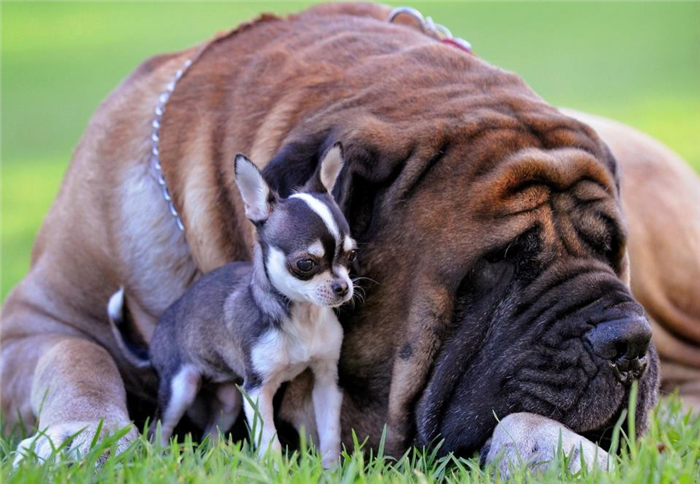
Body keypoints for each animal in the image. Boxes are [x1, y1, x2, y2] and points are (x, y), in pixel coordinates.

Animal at [1, 2, 696, 466]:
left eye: (611, 249)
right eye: (496, 263)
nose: (627, 343)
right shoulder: (32, 324)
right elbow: (78, 357)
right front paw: (76, 436)